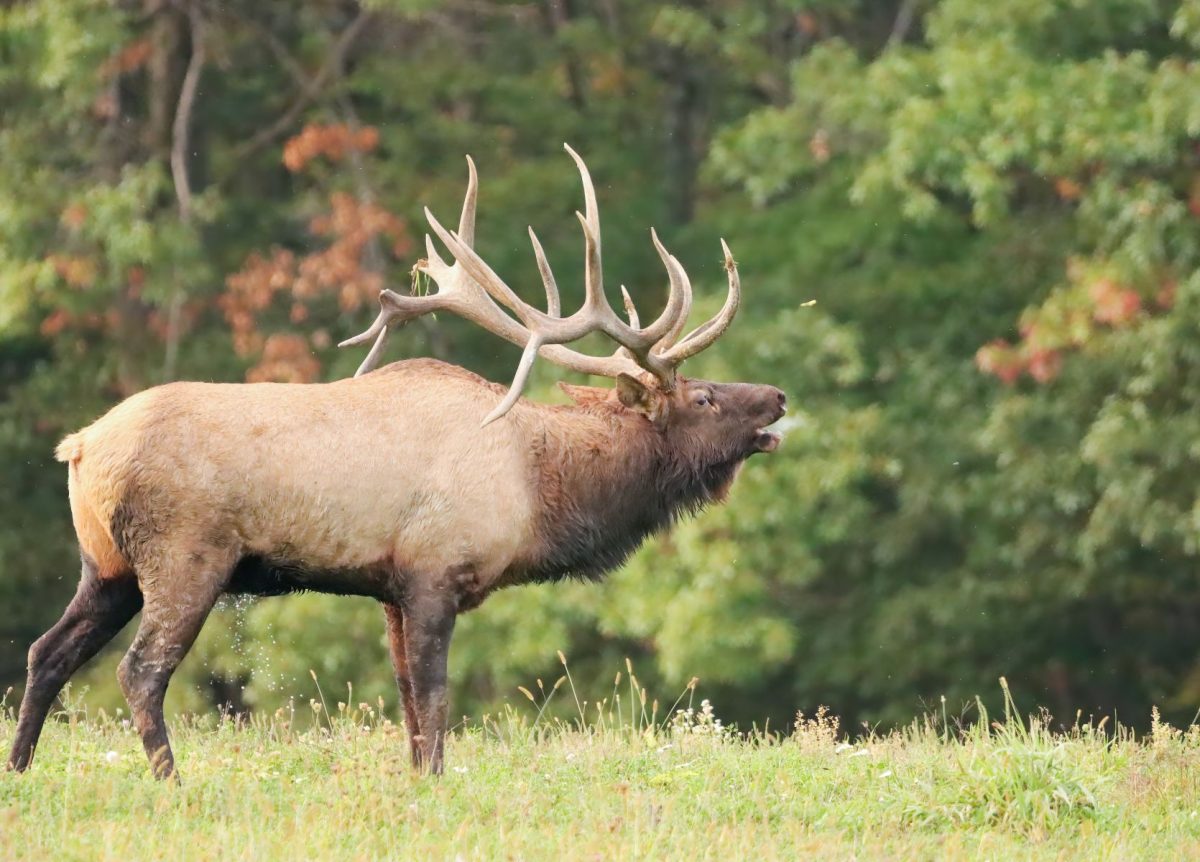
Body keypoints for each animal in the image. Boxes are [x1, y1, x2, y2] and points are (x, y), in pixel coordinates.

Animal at [6, 145, 787, 779]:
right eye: (705, 396)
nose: (776, 395)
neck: (540, 494)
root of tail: (79, 447)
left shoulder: (389, 589)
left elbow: (409, 702)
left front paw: (415, 778)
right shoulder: (435, 571)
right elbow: (434, 699)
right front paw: (436, 781)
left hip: (106, 565)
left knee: (47, 651)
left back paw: (20, 768)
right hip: (184, 555)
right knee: (140, 671)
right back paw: (171, 782)